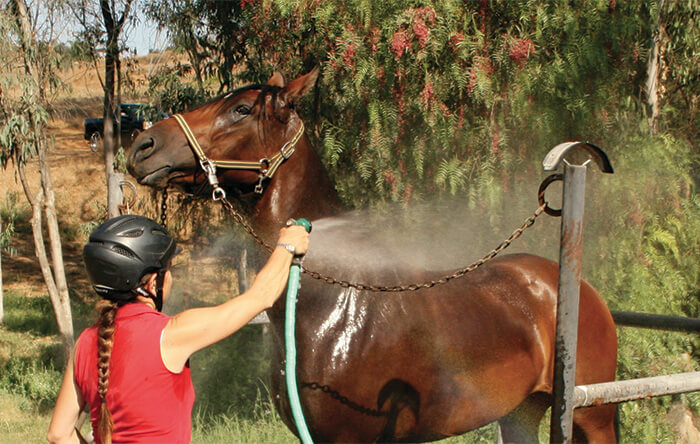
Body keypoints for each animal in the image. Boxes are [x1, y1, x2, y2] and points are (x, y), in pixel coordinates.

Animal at [127, 69, 618, 443]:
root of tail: (572, 283)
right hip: (521, 413)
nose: (142, 147)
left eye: (241, 110)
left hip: (590, 416)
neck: (328, 300)